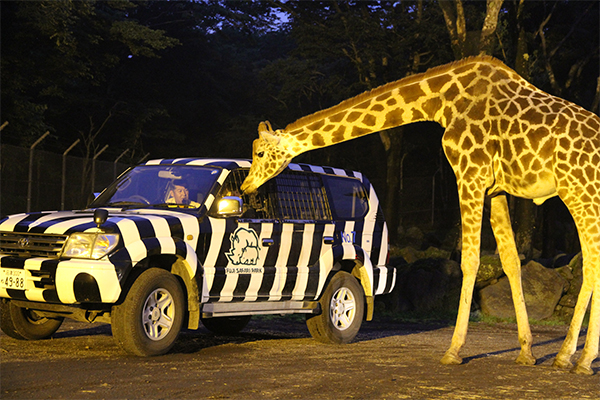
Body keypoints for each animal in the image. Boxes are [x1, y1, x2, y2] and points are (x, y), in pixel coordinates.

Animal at [240, 56, 600, 376]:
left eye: (261, 153)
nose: (246, 186)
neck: (442, 100)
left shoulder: (470, 173)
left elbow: (471, 259)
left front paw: (454, 351)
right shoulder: (496, 188)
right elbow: (511, 260)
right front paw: (526, 352)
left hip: (579, 191)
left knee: (591, 263)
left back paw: (572, 358)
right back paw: (577, 358)